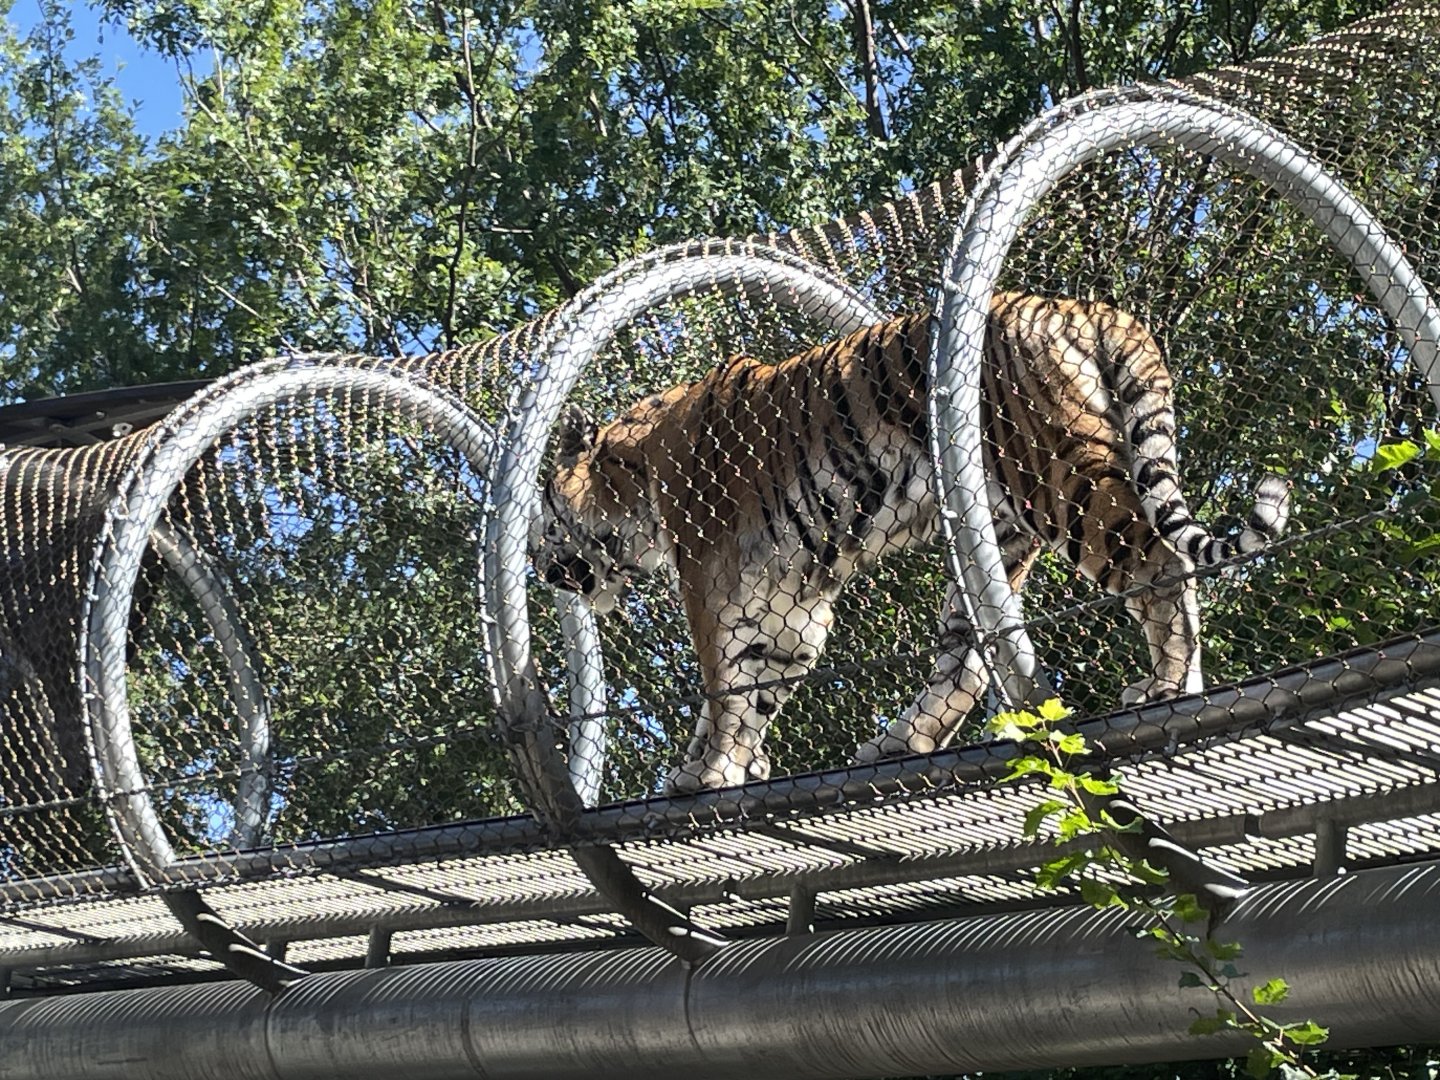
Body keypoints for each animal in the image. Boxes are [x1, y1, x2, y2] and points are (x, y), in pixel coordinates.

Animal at [534, 292, 1290, 794]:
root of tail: (1089, 308)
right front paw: (707, 770)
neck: (629, 482)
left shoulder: (713, 582)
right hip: (997, 532)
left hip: (1059, 479)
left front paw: (714, 771)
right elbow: (756, 690)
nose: (540, 571)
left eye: (542, 515)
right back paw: (902, 740)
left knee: (1159, 565)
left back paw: (1170, 687)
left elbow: (723, 690)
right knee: (967, 661)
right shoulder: (791, 601)